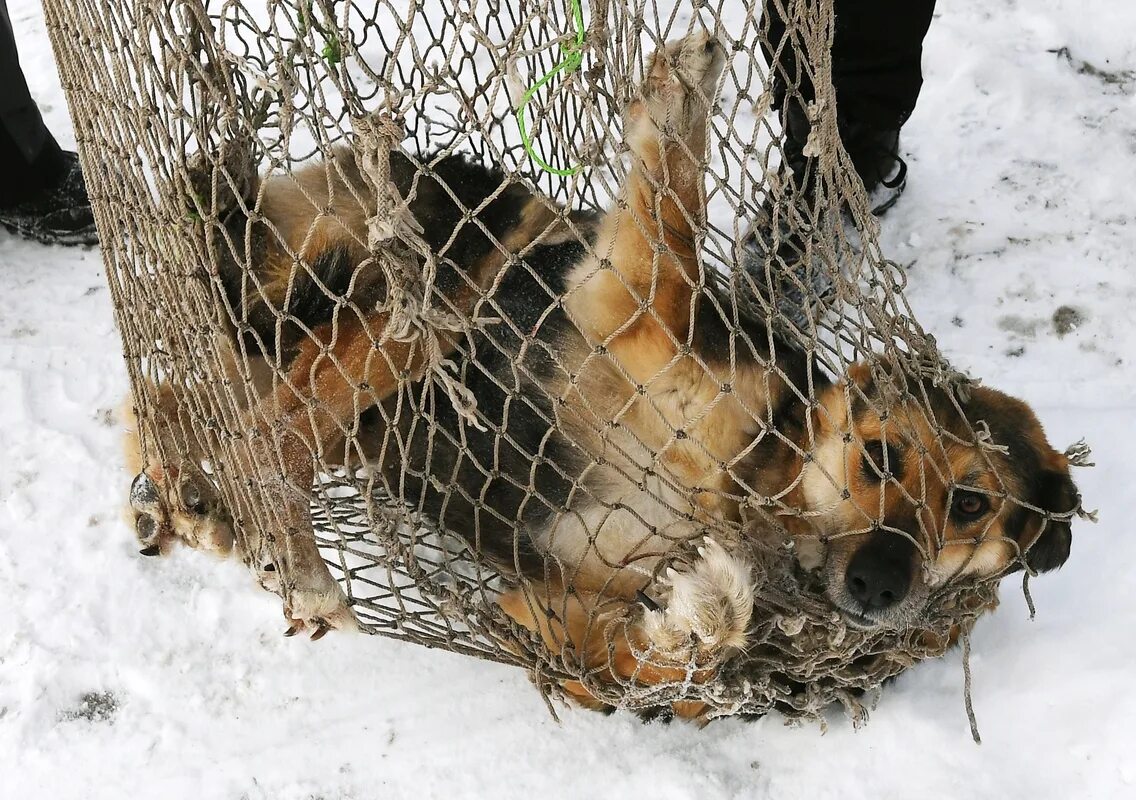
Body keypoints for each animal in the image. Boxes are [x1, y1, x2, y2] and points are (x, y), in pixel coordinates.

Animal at [126, 31, 1081, 718]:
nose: (879, 584)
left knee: (189, 401)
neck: (763, 487)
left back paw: (179, 495)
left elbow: (663, 660)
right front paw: (681, 93)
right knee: (263, 435)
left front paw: (709, 607)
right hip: (410, 318)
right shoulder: (628, 301)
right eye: (880, 457)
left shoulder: (561, 624)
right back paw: (290, 554)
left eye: (971, 503)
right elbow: (675, 220)